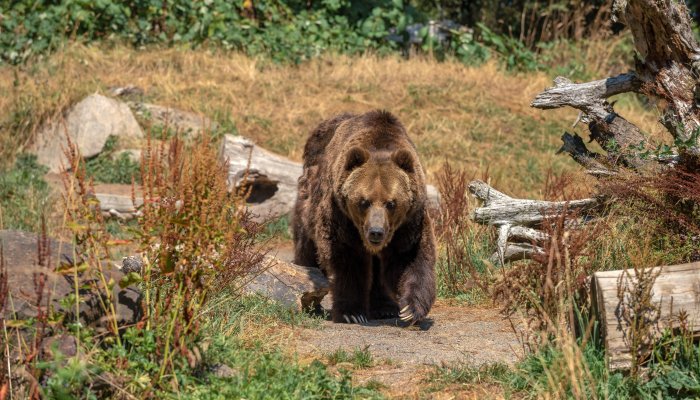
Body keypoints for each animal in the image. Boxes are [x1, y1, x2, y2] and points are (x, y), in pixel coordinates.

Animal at [292, 110, 436, 324]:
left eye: (391, 203)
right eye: (363, 201)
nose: (376, 232)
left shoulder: (409, 223)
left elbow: (410, 257)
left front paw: (410, 308)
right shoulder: (341, 216)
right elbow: (348, 259)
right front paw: (352, 313)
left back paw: (385, 308)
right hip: (309, 200)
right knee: (307, 247)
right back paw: (310, 297)